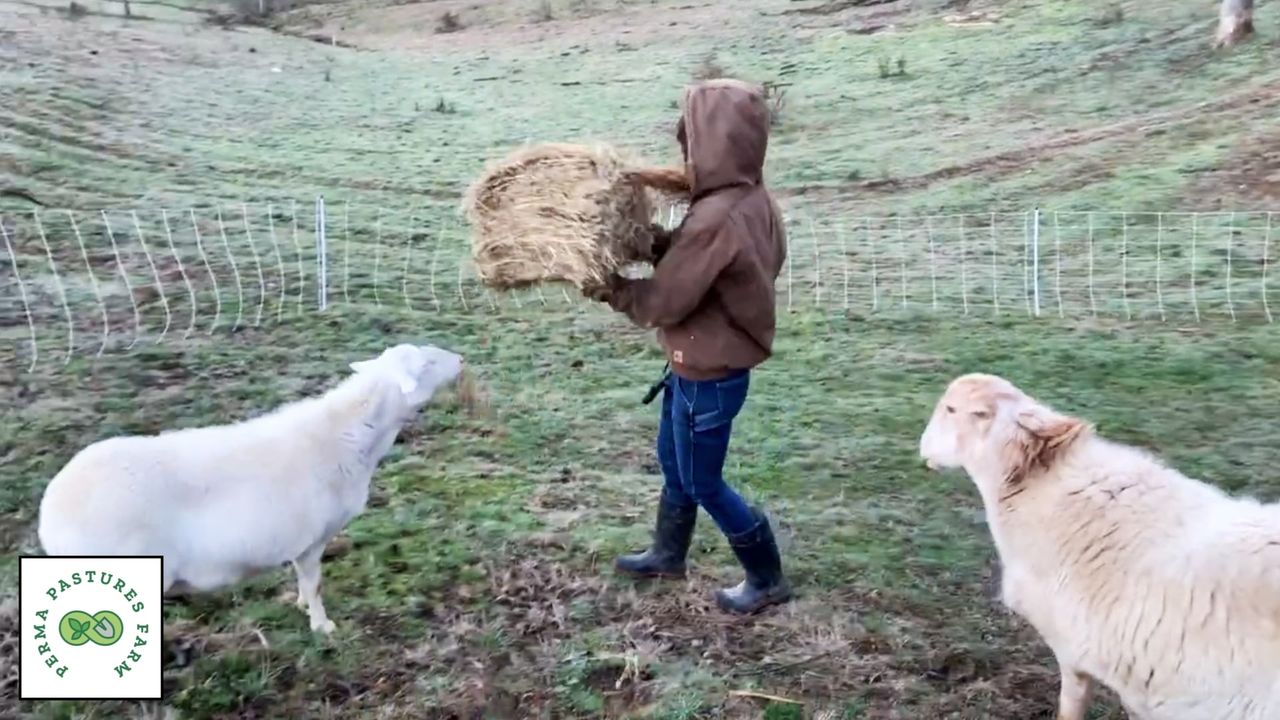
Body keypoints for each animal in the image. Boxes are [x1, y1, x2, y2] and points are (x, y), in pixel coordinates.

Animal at [38, 343, 464, 635]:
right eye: (427, 363)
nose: (460, 359)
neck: (347, 438)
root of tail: (50, 516)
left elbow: (303, 581)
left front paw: (299, 605)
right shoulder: (313, 538)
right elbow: (315, 584)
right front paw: (322, 626)